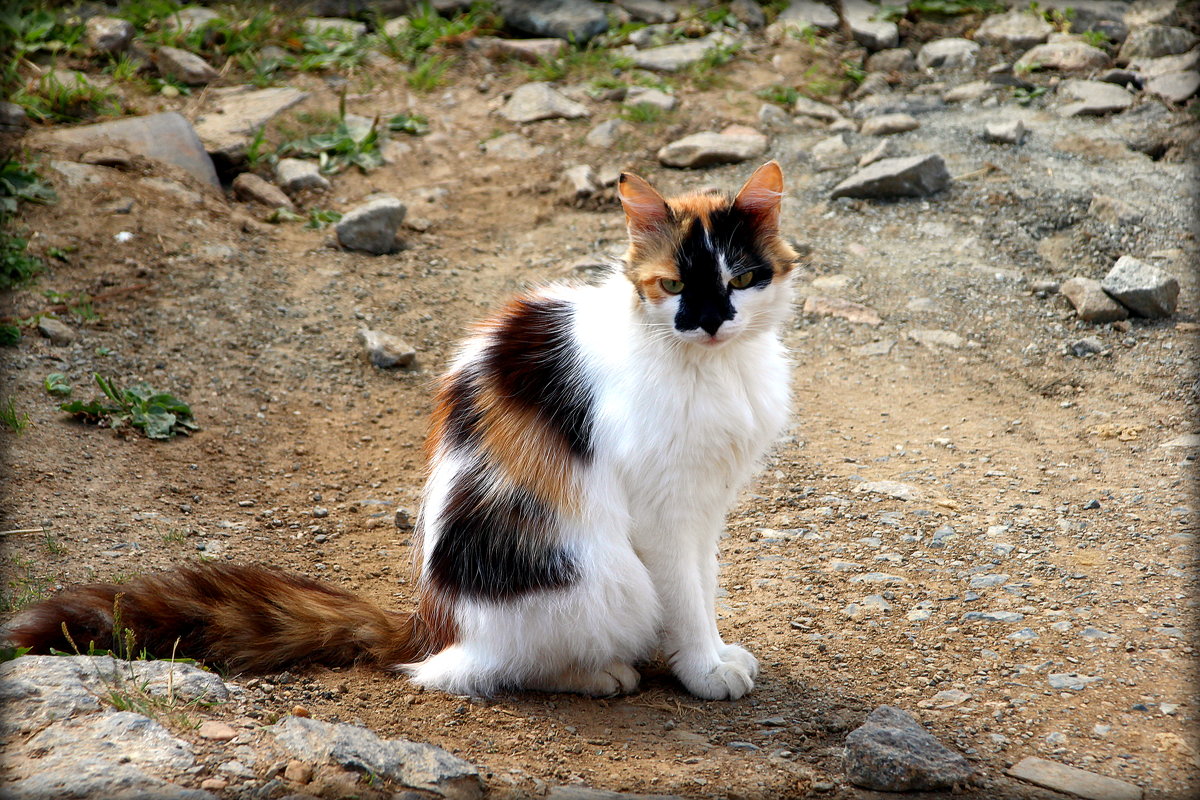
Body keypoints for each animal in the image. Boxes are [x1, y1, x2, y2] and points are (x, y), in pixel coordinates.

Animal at [9, 159, 801, 695]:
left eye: (739, 280)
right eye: (673, 286)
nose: (709, 321)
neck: (714, 369)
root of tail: (431, 621)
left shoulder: (706, 505)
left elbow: (704, 585)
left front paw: (714, 654)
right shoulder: (663, 511)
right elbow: (684, 598)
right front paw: (702, 669)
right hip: (599, 575)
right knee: (486, 669)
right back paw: (599, 673)